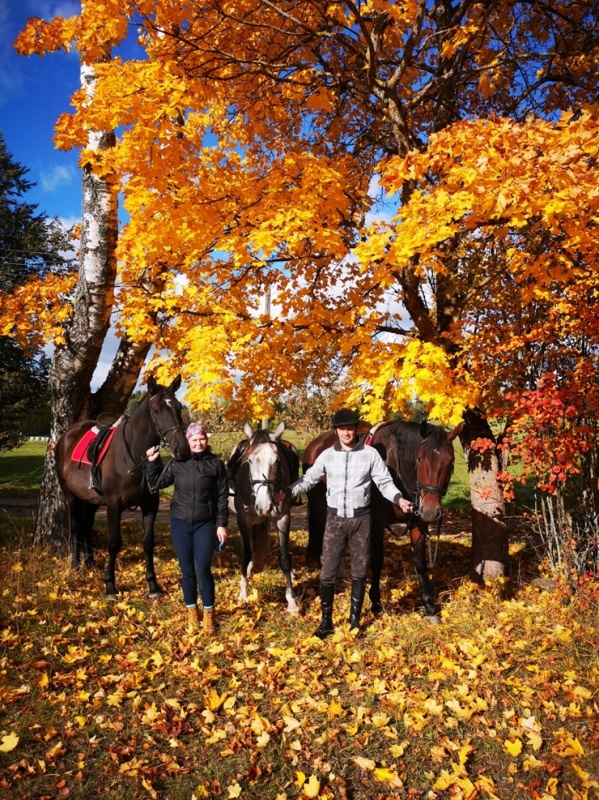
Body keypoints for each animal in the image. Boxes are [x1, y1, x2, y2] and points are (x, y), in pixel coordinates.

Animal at [55, 376, 190, 592]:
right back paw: (76, 566)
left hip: (92, 500)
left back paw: (90, 562)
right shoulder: (114, 504)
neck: (135, 455)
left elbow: (148, 542)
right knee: (75, 526)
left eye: (178, 407)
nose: (182, 449)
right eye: (157, 410)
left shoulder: (150, 505)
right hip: (71, 495)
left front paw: (153, 584)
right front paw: (110, 584)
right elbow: (114, 543)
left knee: (86, 525)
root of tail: (65, 437)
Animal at [231, 422, 304, 616]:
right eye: (249, 461)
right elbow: (245, 554)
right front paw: (243, 593)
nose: (264, 505)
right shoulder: (243, 520)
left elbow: (285, 558)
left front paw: (291, 601)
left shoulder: (283, 517)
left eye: (277, 461)